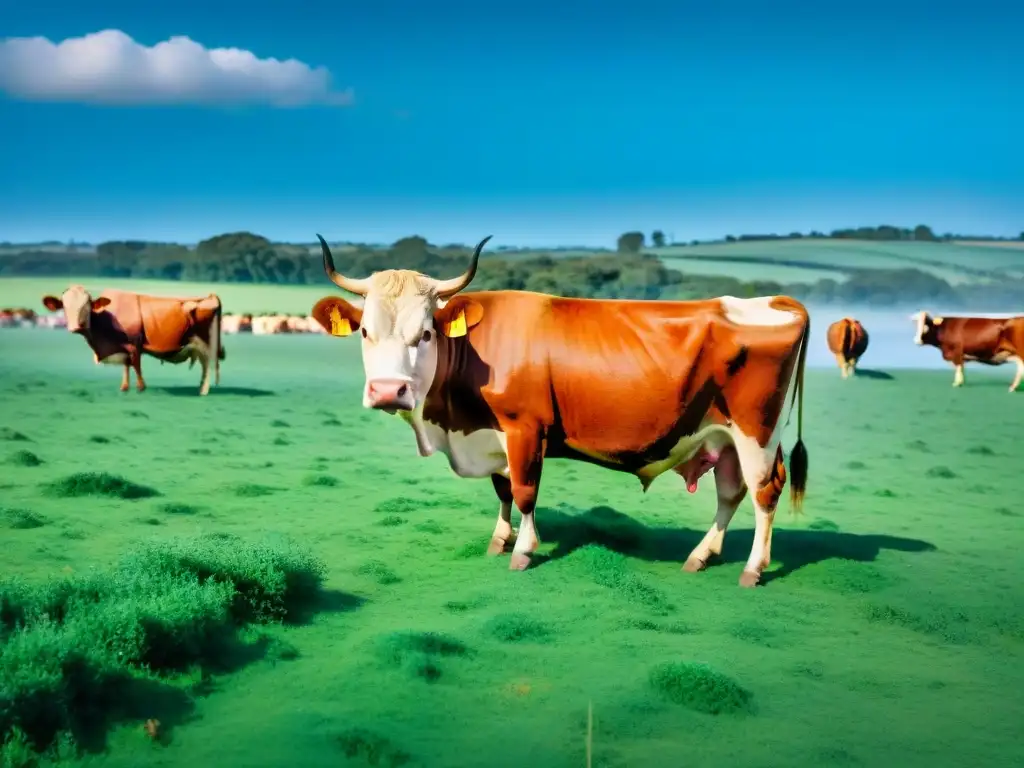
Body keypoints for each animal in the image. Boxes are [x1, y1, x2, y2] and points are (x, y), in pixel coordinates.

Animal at [42, 286, 226, 397]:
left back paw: (203, 391)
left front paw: (140, 387)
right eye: (64, 307)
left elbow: (136, 364)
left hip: (206, 343)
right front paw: (124, 387)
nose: (75, 327)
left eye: (87, 306)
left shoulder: (134, 343)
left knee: (208, 365)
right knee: (205, 365)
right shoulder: (123, 346)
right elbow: (126, 365)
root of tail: (211, 296)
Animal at [307, 234, 811, 589]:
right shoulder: (492, 435)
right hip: (721, 435)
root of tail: (773, 302)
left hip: (756, 431)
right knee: (730, 493)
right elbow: (503, 490)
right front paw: (499, 540)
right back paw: (700, 556)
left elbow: (525, 492)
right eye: (366, 332)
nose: (388, 391)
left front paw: (523, 551)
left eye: (426, 332)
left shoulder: (525, 428)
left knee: (764, 493)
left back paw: (753, 568)